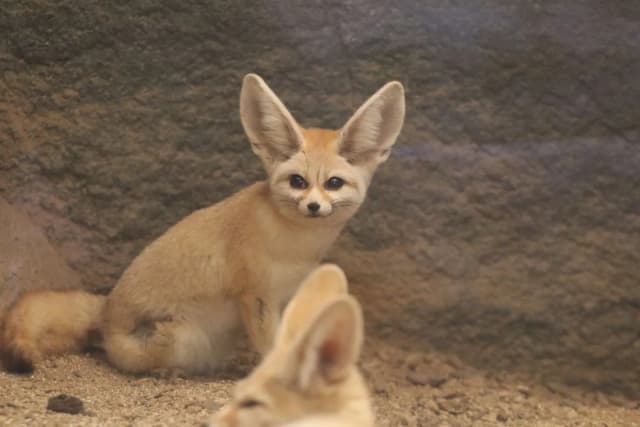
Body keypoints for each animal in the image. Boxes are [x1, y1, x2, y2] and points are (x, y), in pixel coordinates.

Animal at [0, 73, 405, 376]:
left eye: (333, 183)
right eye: (298, 182)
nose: (314, 206)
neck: (296, 245)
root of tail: (107, 306)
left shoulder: (286, 294)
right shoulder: (255, 295)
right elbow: (270, 344)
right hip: (184, 338)